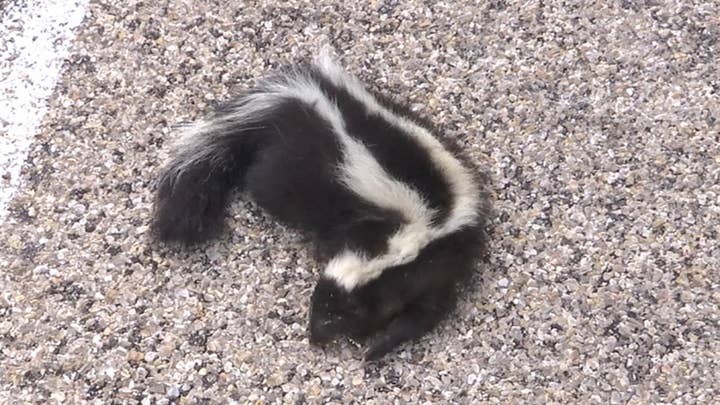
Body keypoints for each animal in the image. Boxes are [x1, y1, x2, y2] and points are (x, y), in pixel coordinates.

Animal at [151, 52, 490, 358]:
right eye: (318, 304)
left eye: (340, 314)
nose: (314, 337)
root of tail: (307, 101)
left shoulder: (441, 260)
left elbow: (427, 310)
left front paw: (379, 346)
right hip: (289, 171)